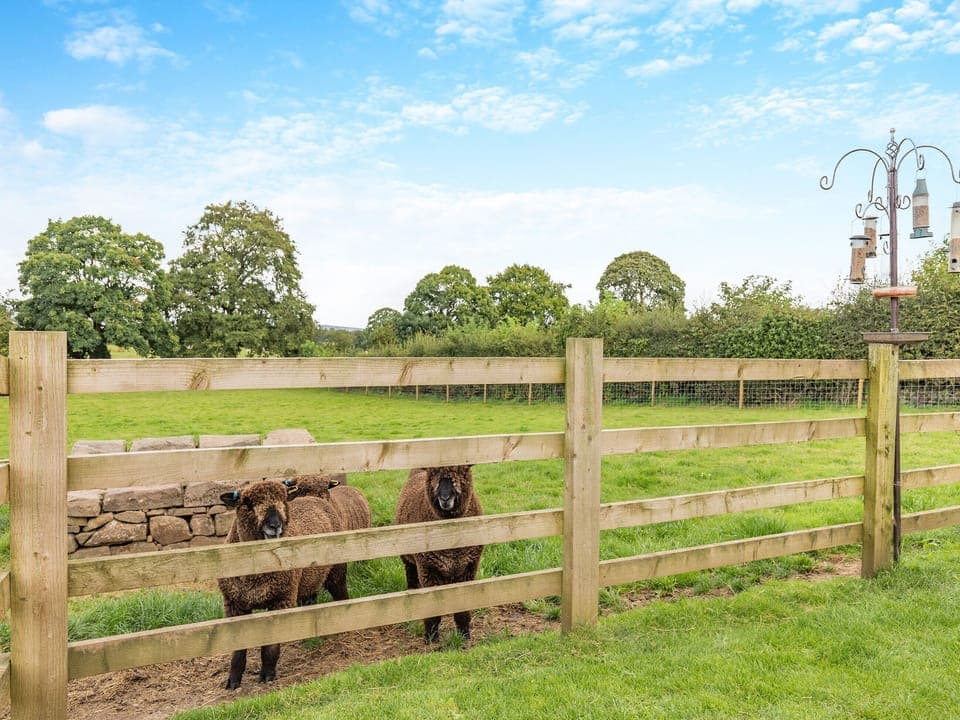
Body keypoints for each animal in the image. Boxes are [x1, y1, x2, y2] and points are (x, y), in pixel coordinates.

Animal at [217, 477, 366, 689]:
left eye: (283, 500)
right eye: (247, 503)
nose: (274, 525)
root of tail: (315, 499)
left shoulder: (281, 599)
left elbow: (271, 646)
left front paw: (267, 675)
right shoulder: (233, 604)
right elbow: (238, 648)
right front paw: (233, 681)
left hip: (336, 571)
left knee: (341, 595)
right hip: (309, 580)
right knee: (309, 603)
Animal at [393, 465, 484, 643]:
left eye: (463, 471)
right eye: (433, 474)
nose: (445, 498)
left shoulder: (469, 568)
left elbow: (463, 607)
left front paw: (464, 634)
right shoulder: (428, 569)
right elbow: (432, 609)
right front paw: (431, 638)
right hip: (409, 558)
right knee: (411, 576)